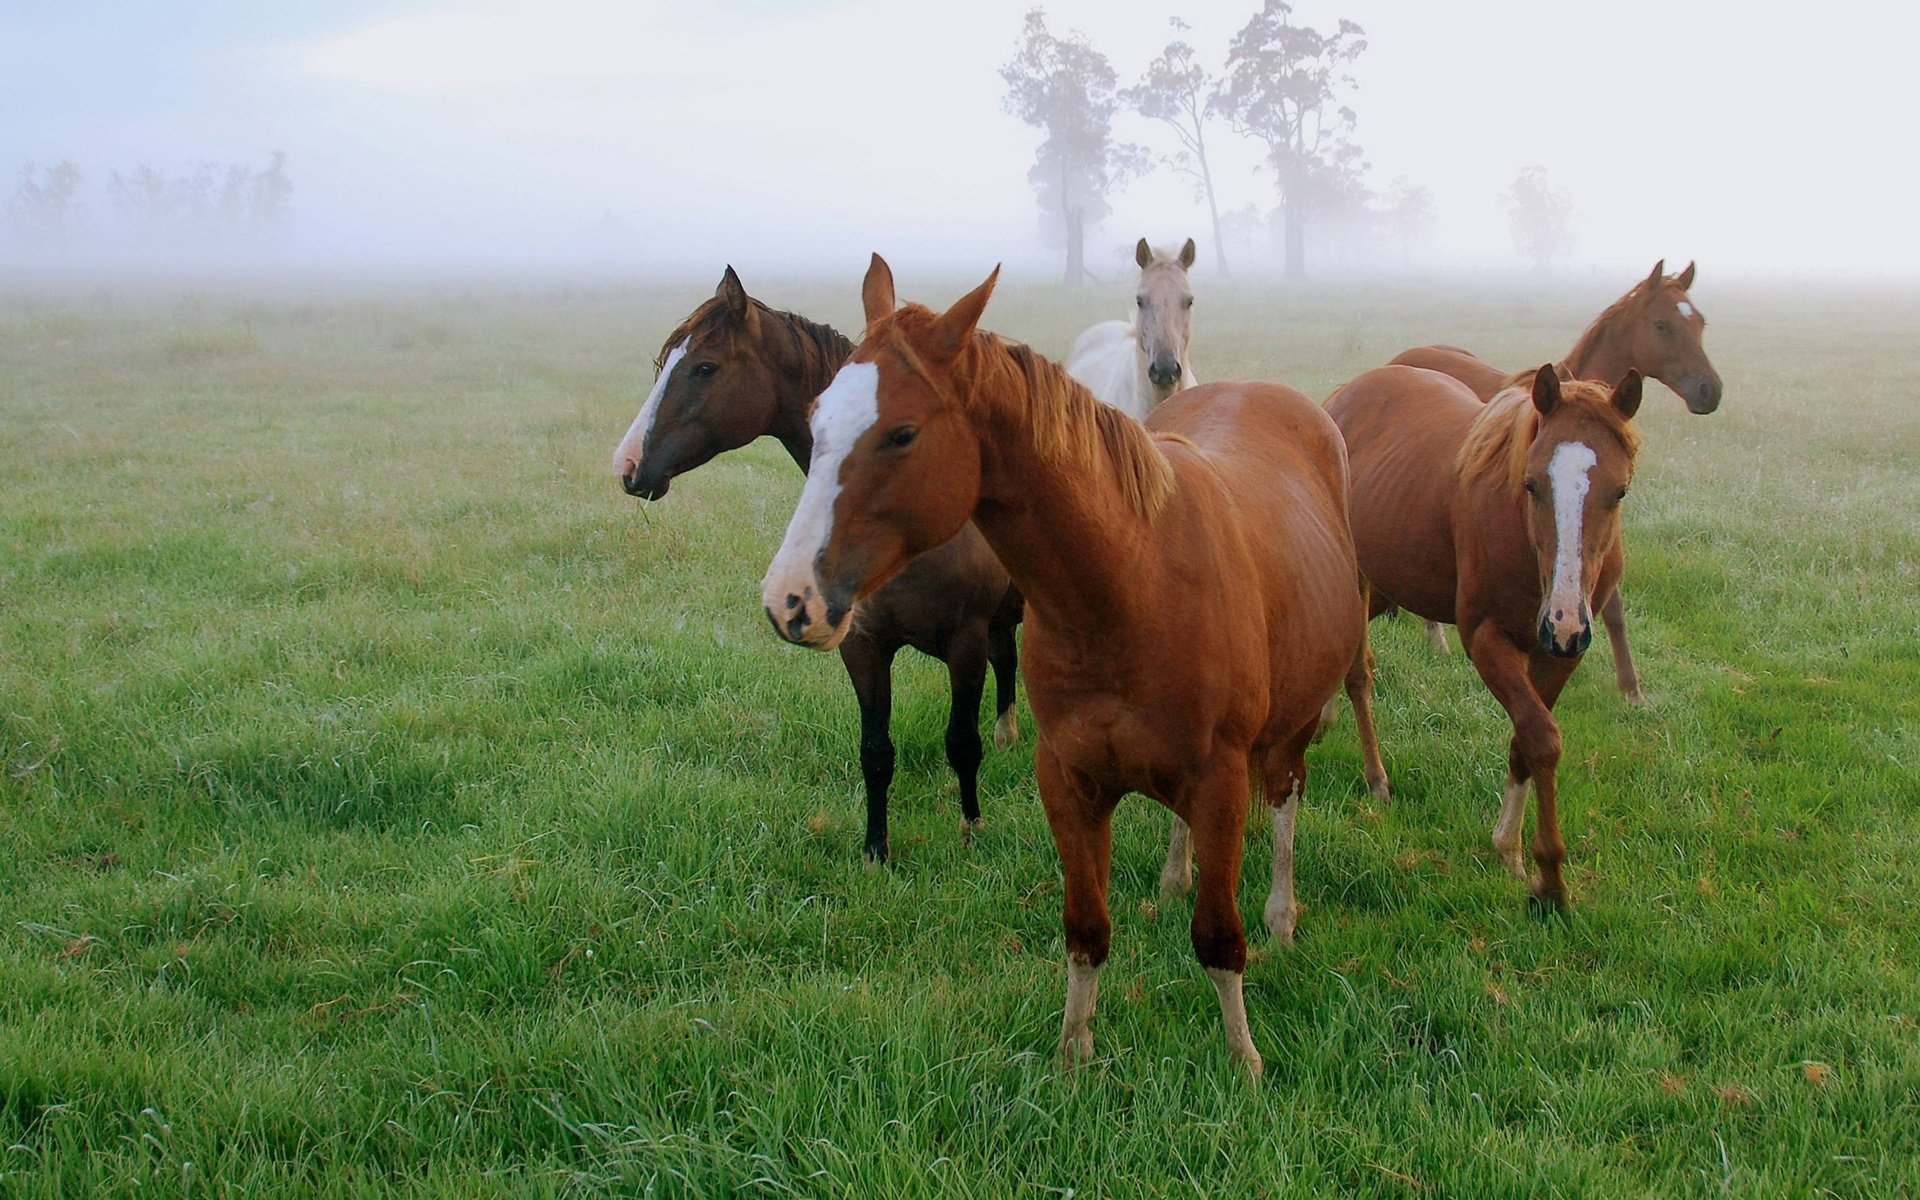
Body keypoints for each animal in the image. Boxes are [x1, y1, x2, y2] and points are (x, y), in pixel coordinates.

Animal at [610, 264, 1029, 860]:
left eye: (704, 367)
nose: (627, 466)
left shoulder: (963, 643)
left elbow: (961, 743)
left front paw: (972, 828)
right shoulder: (863, 646)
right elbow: (876, 752)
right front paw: (875, 851)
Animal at [756, 257, 1374, 1075]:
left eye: (902, 433)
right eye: (817, 418)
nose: (789, 599)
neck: (1130, 582)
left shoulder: (1219, 779)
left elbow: (1218, 936)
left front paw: (1243, 1061)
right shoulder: (1069, 780)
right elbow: (1086, 929)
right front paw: (1073, 1054)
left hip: (1292, 725)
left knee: (1284, 798)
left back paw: (1280, 912)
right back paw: (1175, 877)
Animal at [1328, 364, 1643, 906]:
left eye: (1619, 491)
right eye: (1532, 484)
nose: (1563, 620)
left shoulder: (1559, 656)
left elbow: (1526, 739)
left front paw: (1509, 850)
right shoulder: (1486, 640)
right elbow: (1541, 738)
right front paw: (1549, 880)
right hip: (1358, 576)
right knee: (1357, 675)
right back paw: (1376, 779)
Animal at [1390, 255, 1720, 698]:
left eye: (1699, 322)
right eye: (1662, 325)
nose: (1710, 391)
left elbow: (1611, 605)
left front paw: (1631, 688)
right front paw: (1629, 686)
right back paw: (1435, 637)